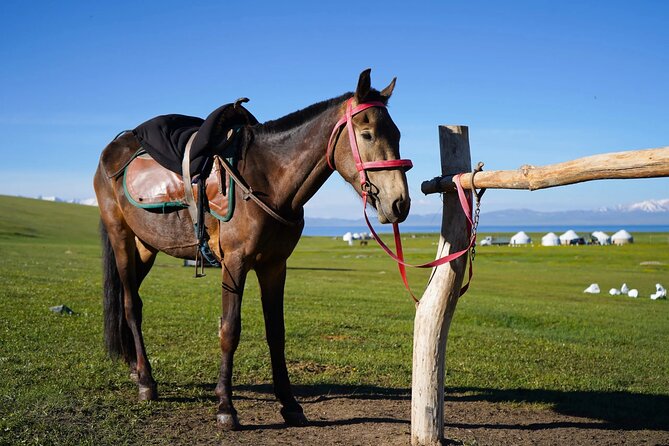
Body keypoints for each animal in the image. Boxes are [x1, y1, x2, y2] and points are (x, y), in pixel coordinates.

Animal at [93, 69, 412, 430]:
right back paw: (147, 382)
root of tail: (112, 148)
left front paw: (289, 404)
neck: (267, 179)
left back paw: (135, 369)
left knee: (129, 297)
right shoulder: (234, 263)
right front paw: (225, 407)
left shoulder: (274, 265)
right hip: (120, 237)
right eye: (367, 134)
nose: (399, 203)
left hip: (145, 247)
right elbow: (229, 330)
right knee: (131, 305)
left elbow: (277, 332)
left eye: (397, 134)